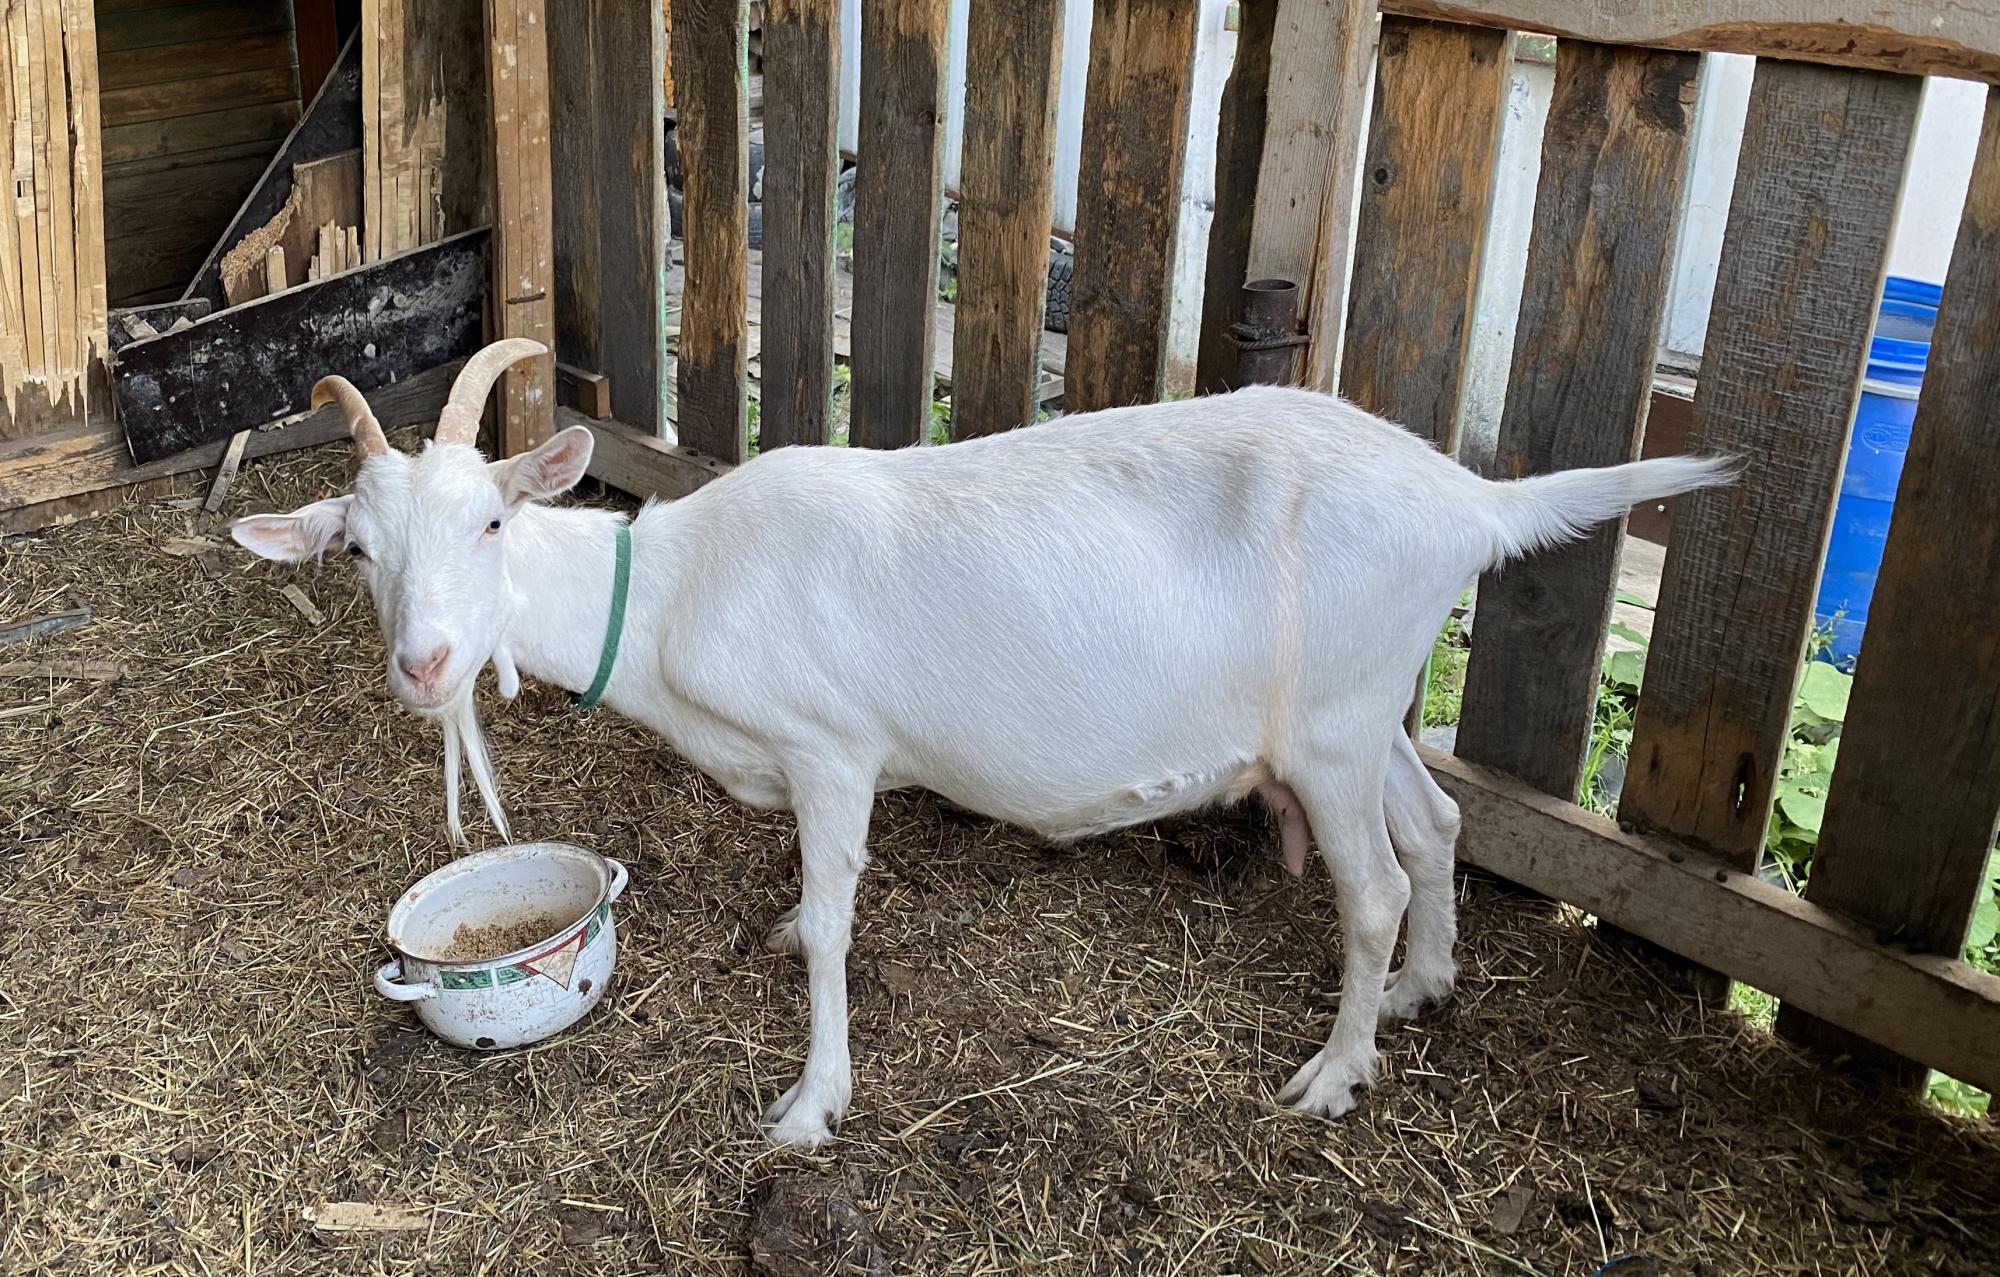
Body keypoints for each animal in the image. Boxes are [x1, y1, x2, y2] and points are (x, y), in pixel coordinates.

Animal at [230, 340, 1736, 1152]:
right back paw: (1425, 987)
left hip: (1330, 723)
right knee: (1437, 826)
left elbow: (841, 923)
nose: (426, 667)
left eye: (489, 520)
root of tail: (1468, 502)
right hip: (1366, 707)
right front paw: (787, 936)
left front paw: (811, 1103)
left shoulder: (833, 747)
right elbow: (813, 906)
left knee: (1367, 885)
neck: (668, 589)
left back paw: (1330, 1075)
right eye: (356, 550)